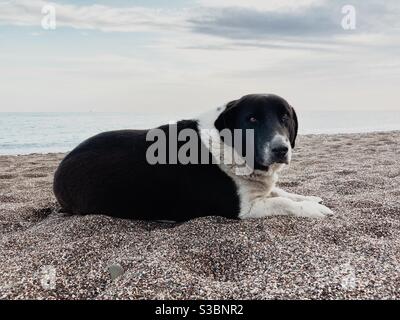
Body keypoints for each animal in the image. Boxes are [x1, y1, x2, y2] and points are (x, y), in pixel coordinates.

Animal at [54, 94, 334, 221]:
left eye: (285, 117)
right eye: (252, 119)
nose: (281, 149)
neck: (227, 144)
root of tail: (60, 167)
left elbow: (283, 192)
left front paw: (310, 198)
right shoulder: (243, 210)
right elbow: (282, 202)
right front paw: (313, 208)